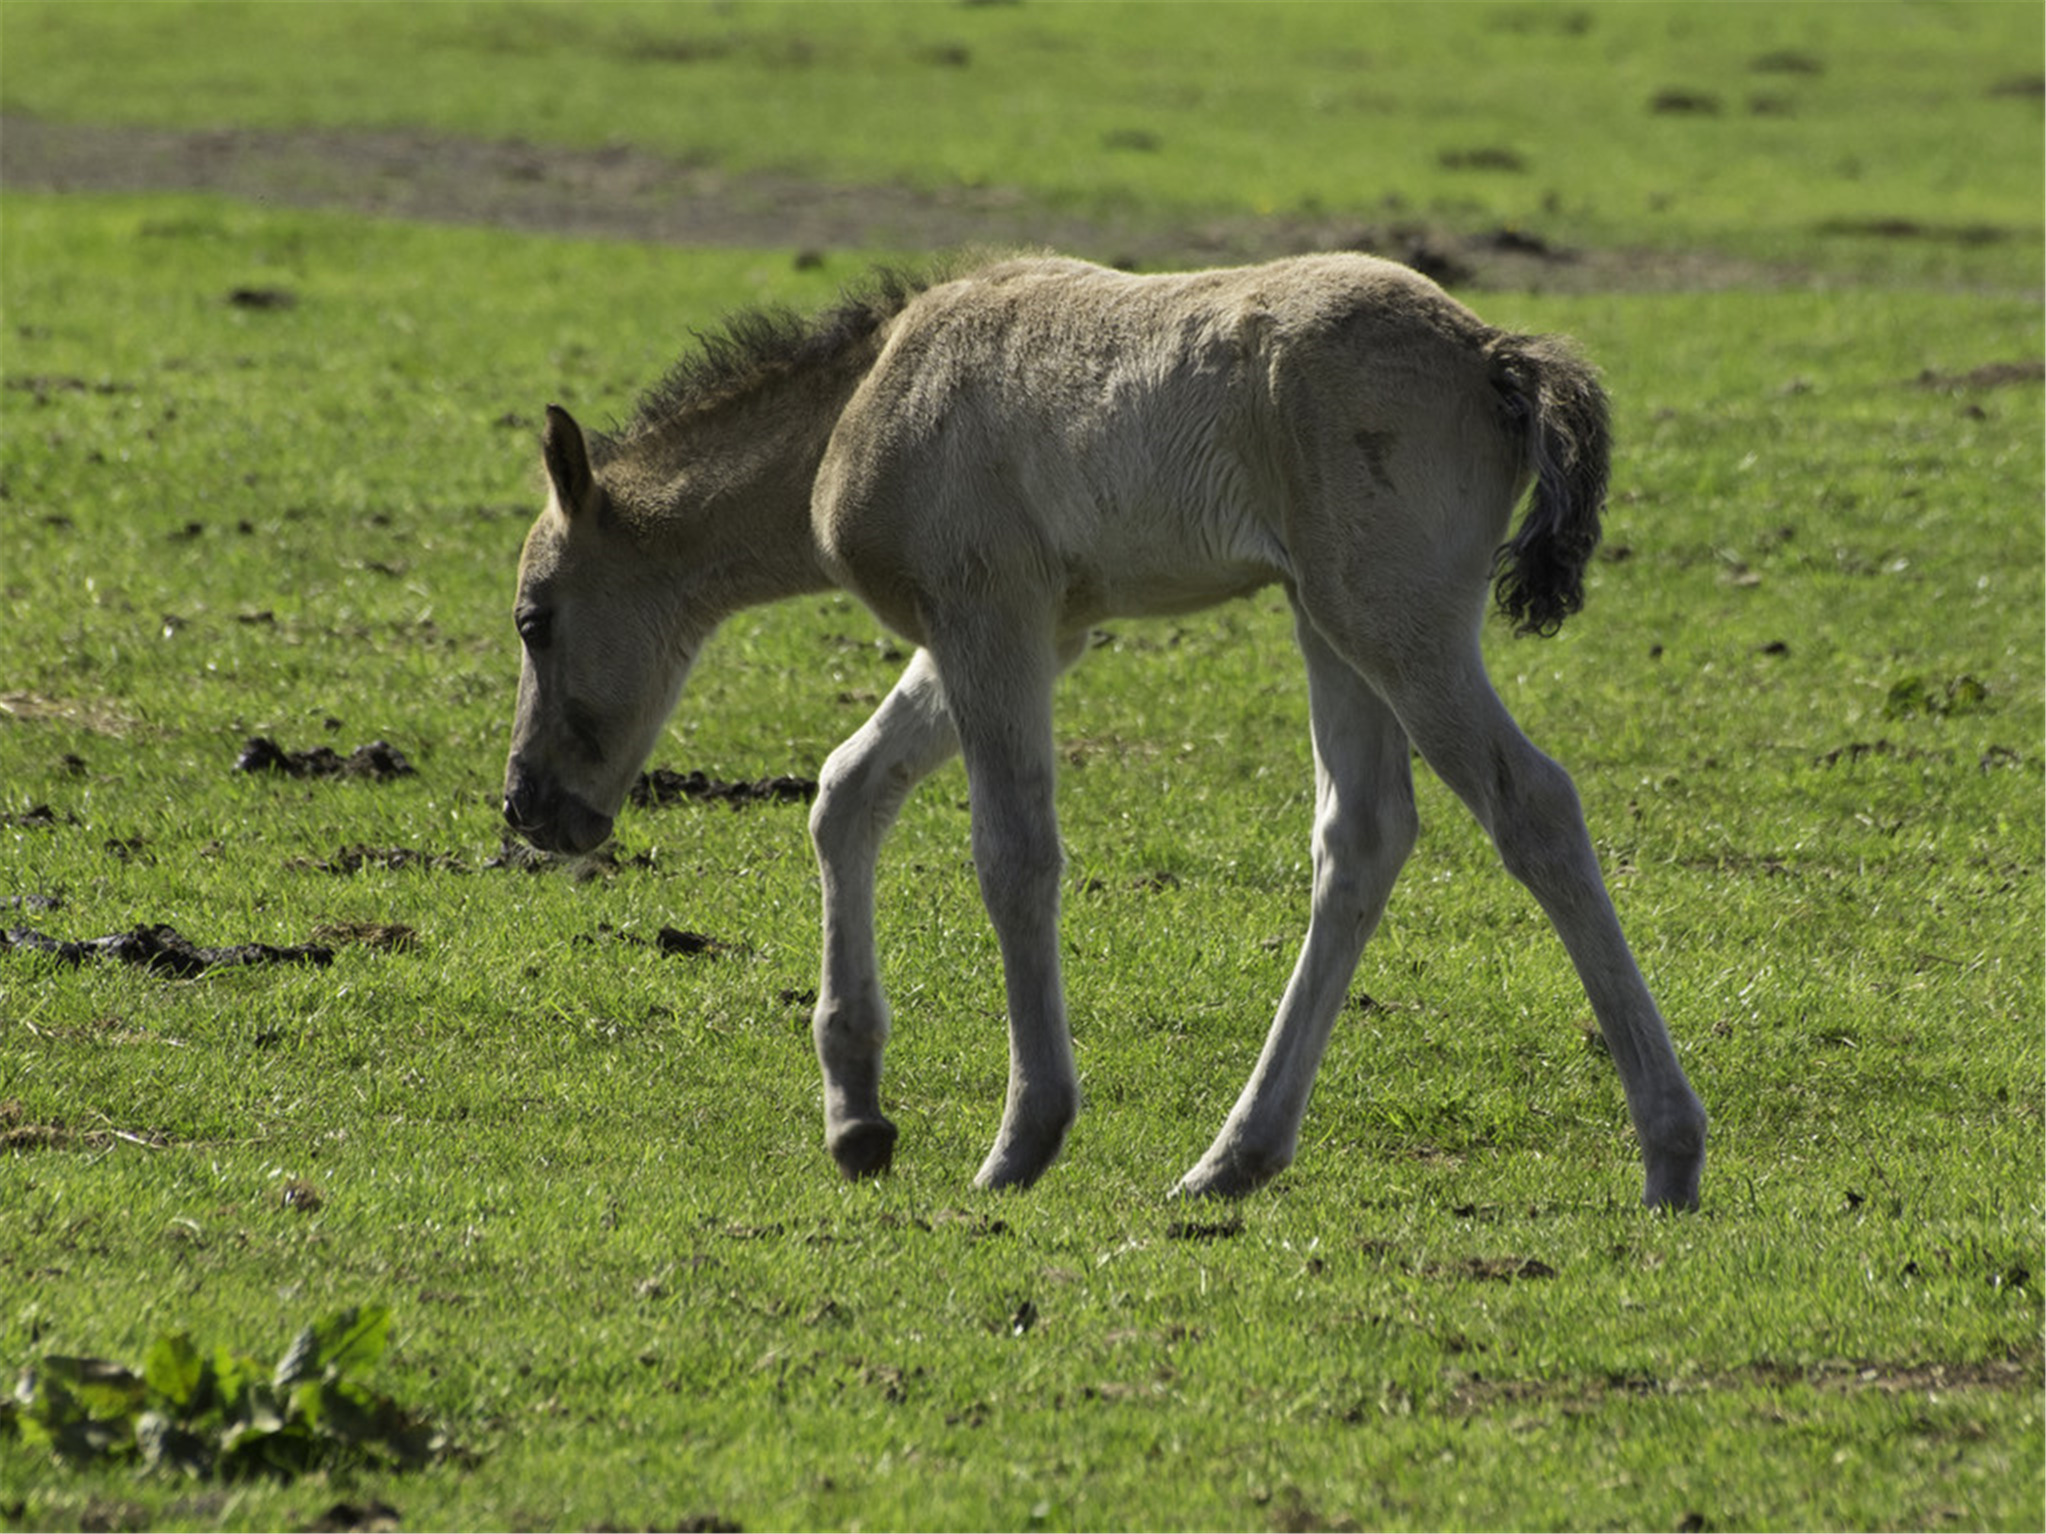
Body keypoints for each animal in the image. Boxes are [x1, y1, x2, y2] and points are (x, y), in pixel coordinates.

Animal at [507, 252, 1710, 1210]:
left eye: (534, 617)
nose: (529, 806)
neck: (857, 406)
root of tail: (1494, 355)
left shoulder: (986, 614)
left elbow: (1013, 856)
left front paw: (1021, 1139)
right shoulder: (1040, 630)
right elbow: (847, 788)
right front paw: (856, 1118)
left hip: (1393, 619)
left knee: (1532, 804)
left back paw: (1671, 1151)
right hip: (1327, 618)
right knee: (1362, 835)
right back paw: (1231, 1158)